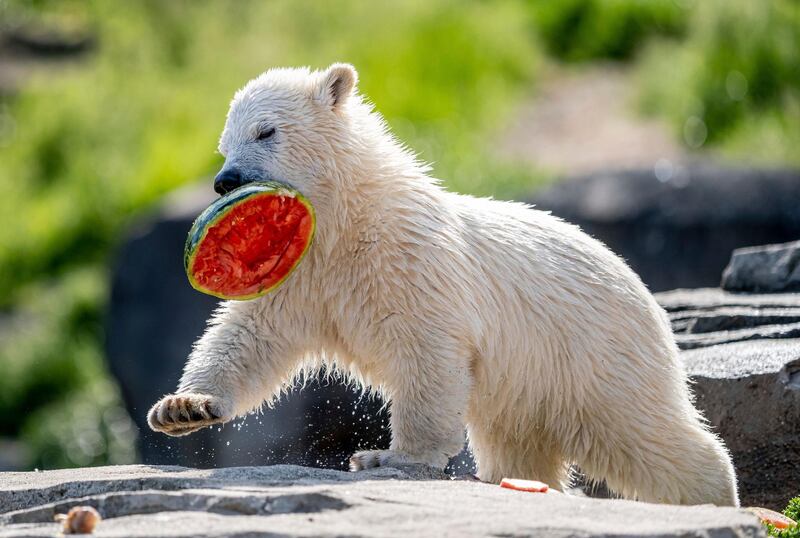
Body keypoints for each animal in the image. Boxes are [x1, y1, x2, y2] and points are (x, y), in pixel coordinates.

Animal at [148, 65, 736, 504]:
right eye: (224, 144)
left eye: (266, 131)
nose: (225, 180)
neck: (349, 219)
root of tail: (648, 297)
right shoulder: (302, 272)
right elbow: (250, 337)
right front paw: (183, 408)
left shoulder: (409, 261)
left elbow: (424, 350)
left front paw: (387, 455)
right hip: (530, 387)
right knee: (520, 445)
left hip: (594, 354)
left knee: (641, 433)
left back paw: (714, 493)